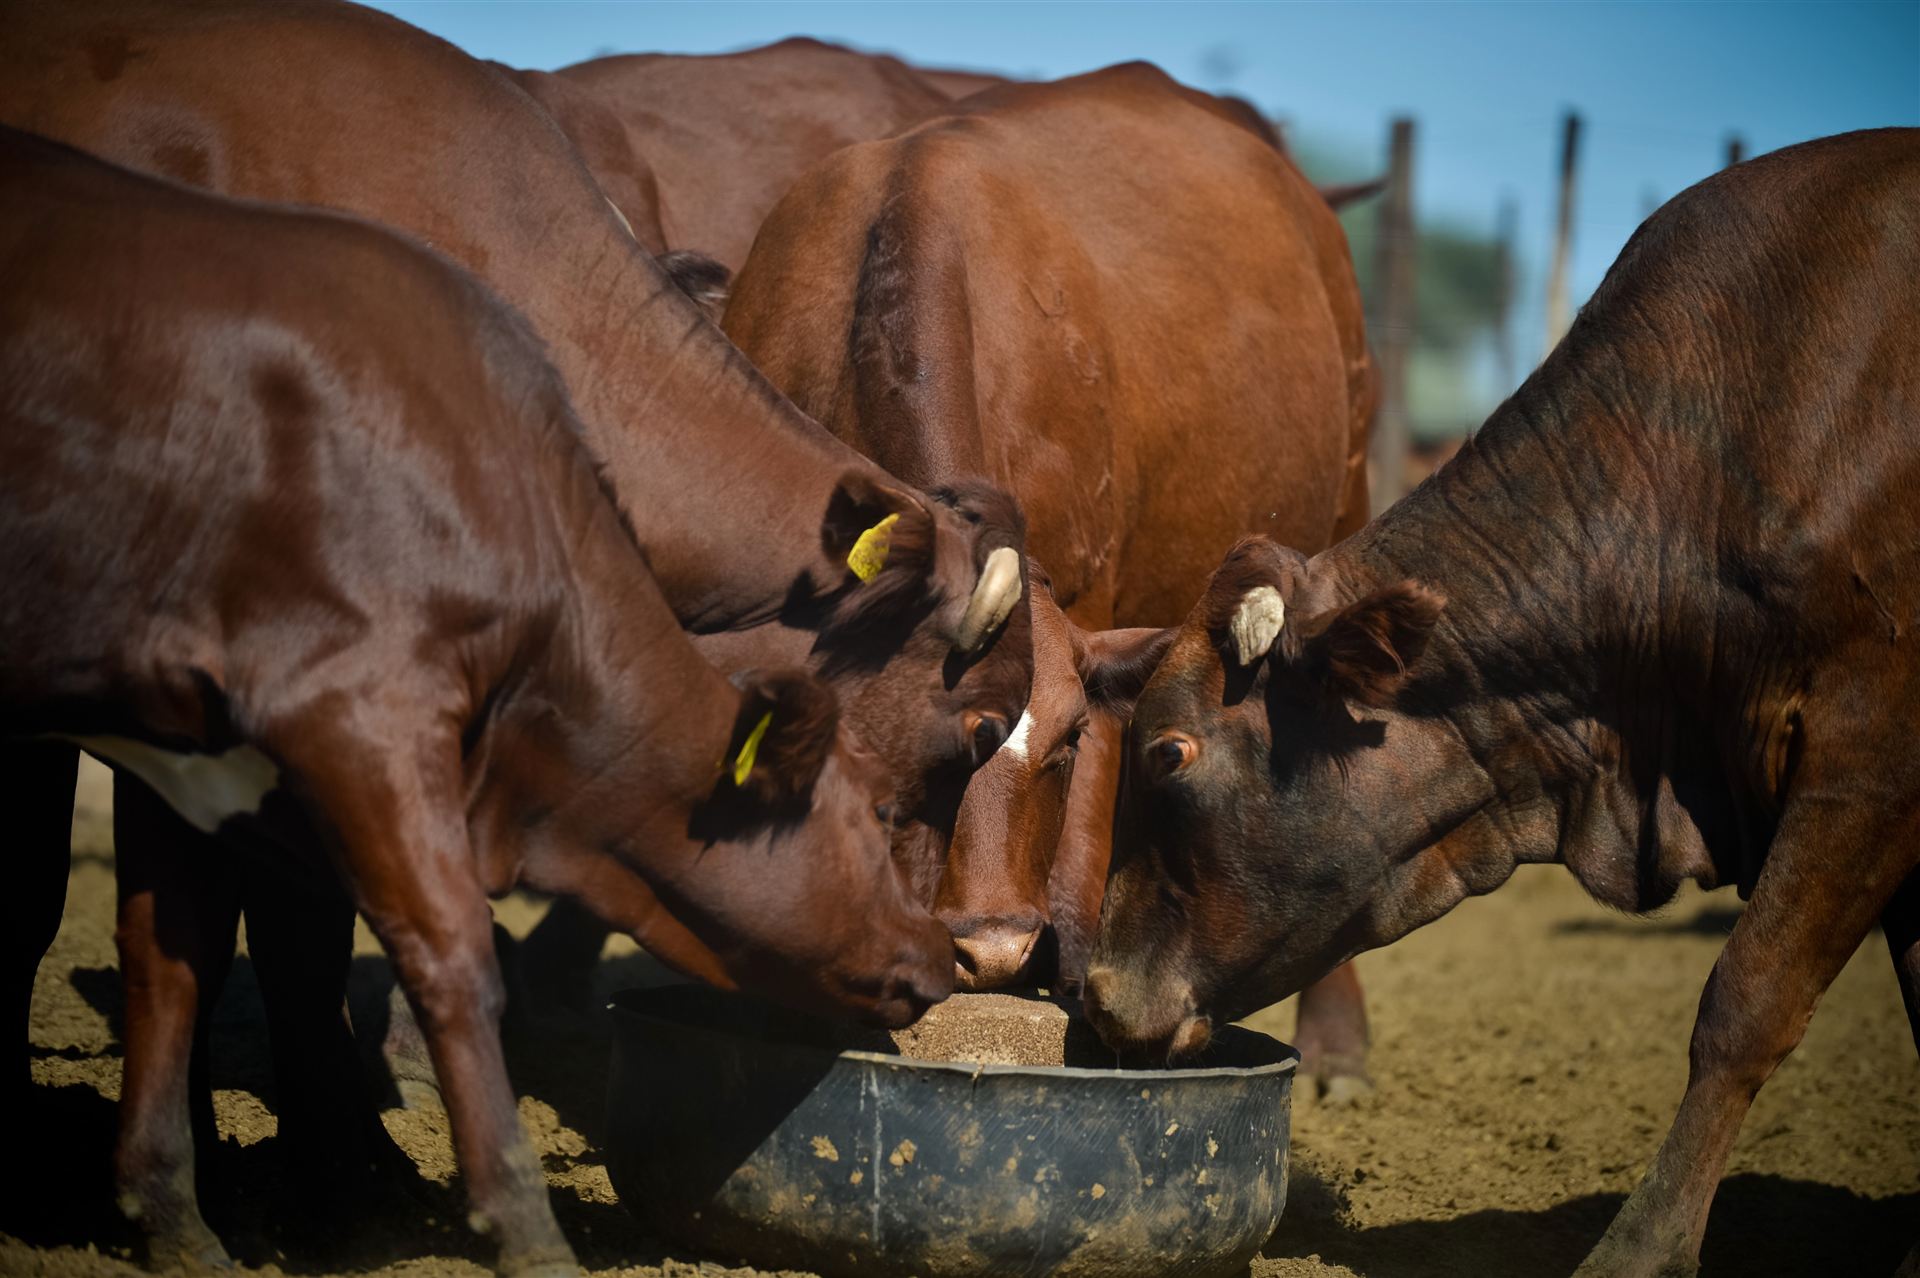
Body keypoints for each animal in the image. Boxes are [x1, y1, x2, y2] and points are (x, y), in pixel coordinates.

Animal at [1, 124, 952, 1272]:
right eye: (869, 814)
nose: (943, 956)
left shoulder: (185, 754)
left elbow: (170, 956)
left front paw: (175, 1213)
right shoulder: (363, 713)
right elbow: (446, 955)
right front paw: (519, 1222)